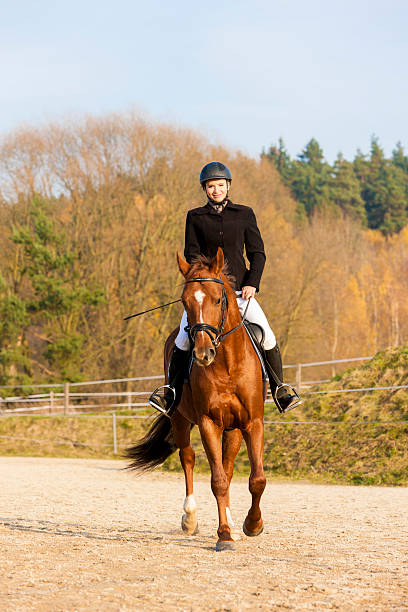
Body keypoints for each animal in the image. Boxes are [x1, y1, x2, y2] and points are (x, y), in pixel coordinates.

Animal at [127, 246, 268, 552]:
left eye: (217, 299)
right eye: (185, 301)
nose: (203, 354)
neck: (228, 364)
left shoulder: (252, 422)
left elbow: (256, 479)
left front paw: (252, 525)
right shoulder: (208, 422)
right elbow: (217, 481)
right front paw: (224, 536)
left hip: (233, 429)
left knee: (227, 466)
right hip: (180, 419)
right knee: (188, 457)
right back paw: (190, 518)